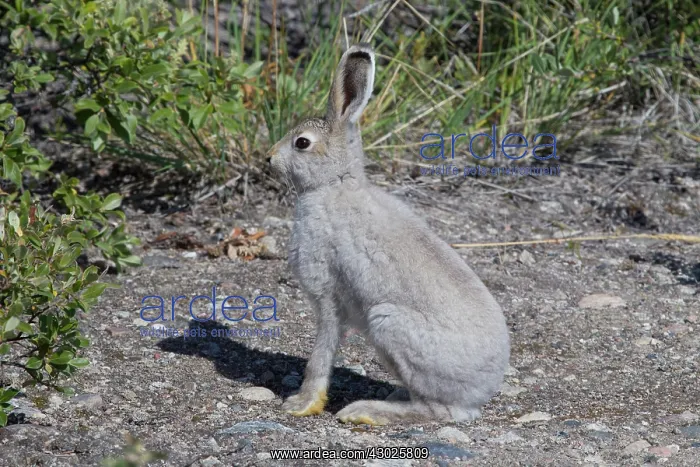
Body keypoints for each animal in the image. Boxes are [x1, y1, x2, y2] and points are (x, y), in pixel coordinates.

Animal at [267, 43, 510, 425]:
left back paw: (365, 411)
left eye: (302, 143)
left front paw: (301, 404)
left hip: (388, 323)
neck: (334, 184)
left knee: (435, 410)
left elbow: (321, 354)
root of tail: (480, 394)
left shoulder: (326, 293)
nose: (269, 158)